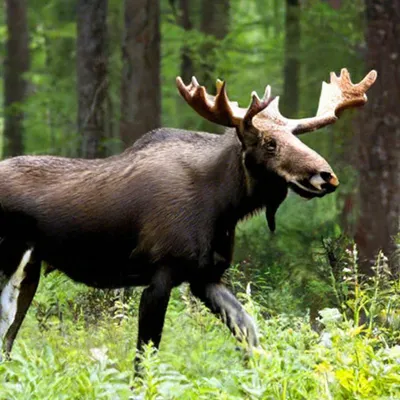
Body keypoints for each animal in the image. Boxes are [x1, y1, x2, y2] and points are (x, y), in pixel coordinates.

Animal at [0, 68, 376, 366]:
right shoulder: (162, 272)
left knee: (8, 338)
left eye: (295, 136)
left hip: (30, 270)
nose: (325, 176)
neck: (223, 207)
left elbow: (250, 336)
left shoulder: (205, 276)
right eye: (270, 142)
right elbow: (145, 356)